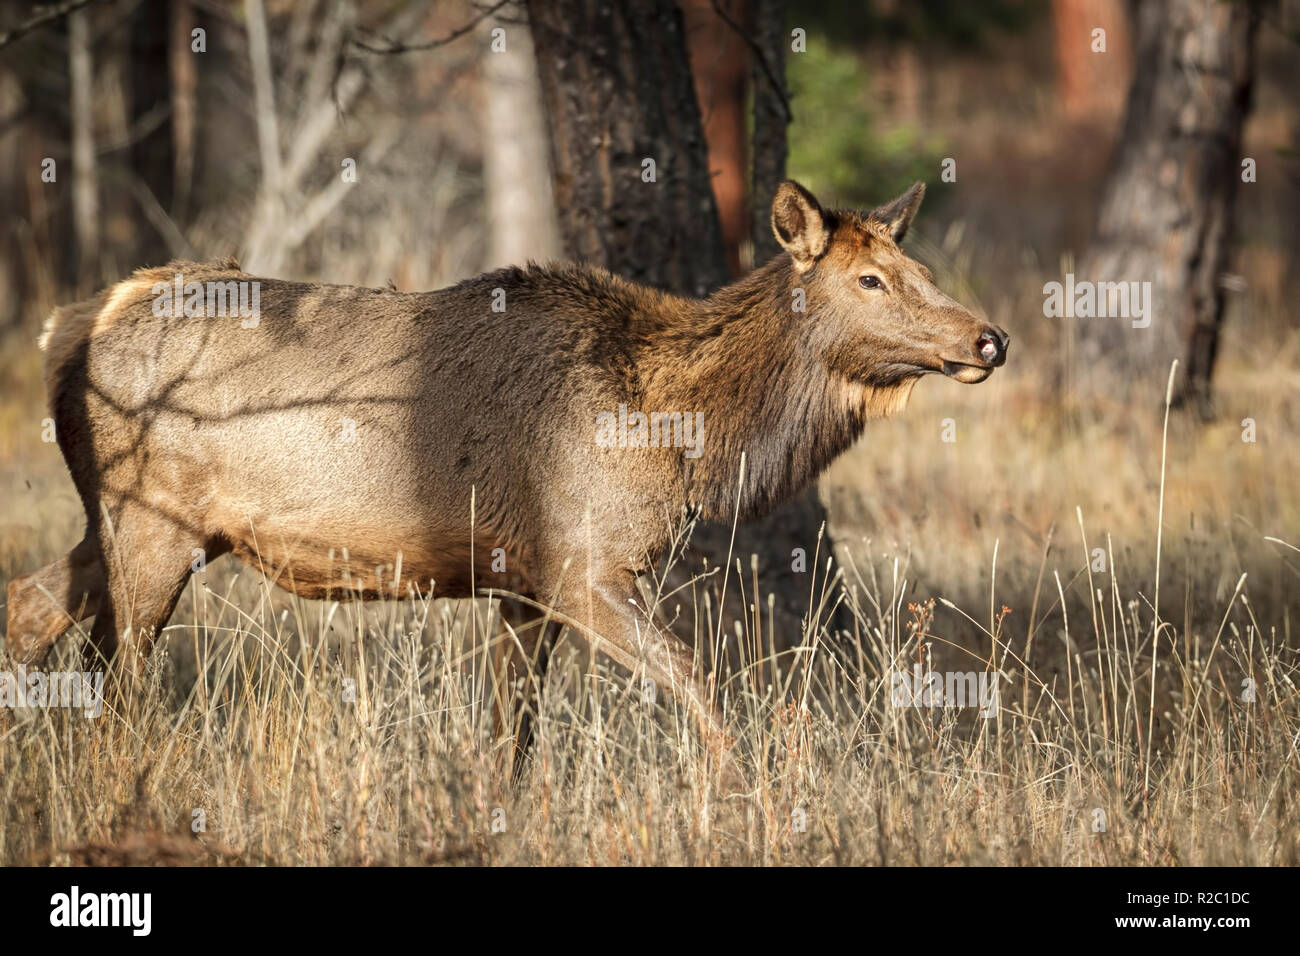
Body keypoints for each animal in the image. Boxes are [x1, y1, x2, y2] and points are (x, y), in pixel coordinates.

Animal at [2, 179, 1003, 764]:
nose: (988, 337)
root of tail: (75, 323)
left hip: (132, 524)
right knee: (115, 677)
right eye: (870, 280)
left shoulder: (521, 583)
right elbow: (706, 695)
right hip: (150, 519)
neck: (680, 435)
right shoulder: (582, 564)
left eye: (916, 262)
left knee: (30, 608)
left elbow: (510, 742)